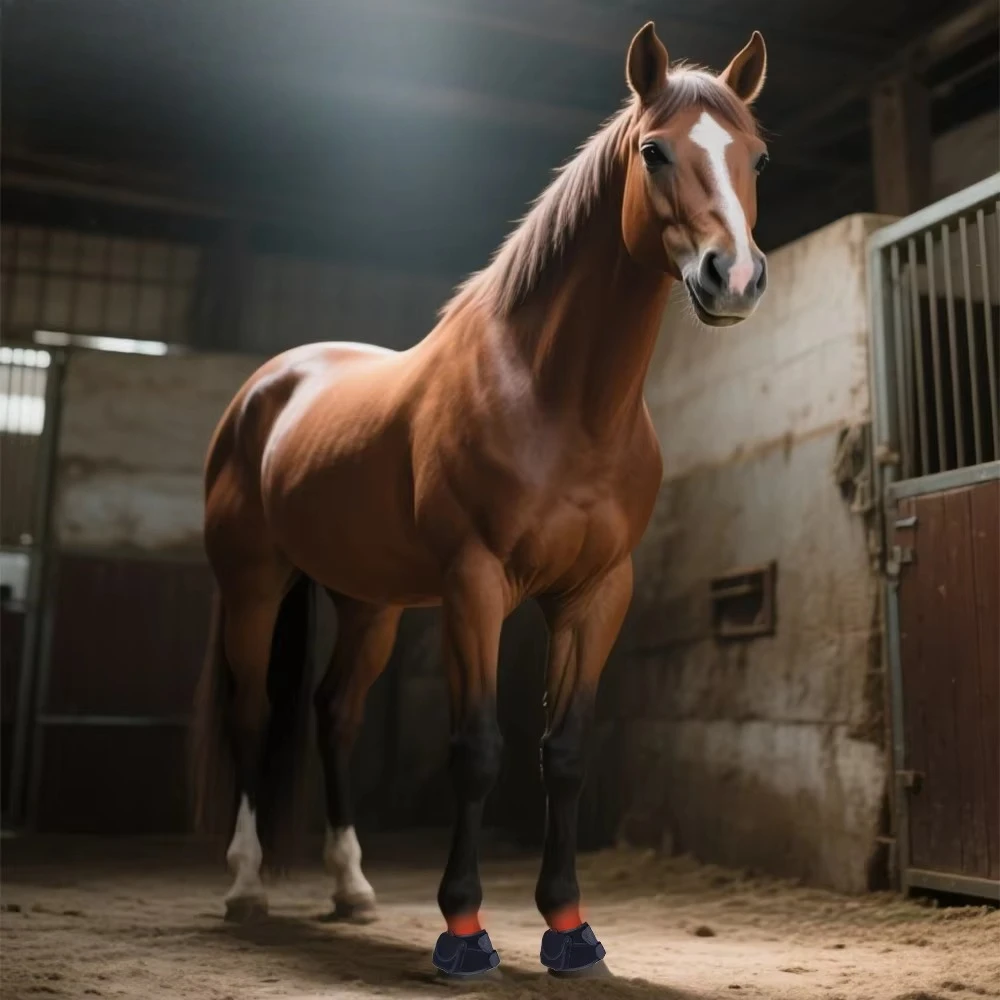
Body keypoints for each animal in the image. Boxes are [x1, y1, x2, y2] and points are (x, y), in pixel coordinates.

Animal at [192, 20, 769, 978]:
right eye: (654, 151)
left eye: (755, 156)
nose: (734, 278)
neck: (558, 398)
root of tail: (264, 390)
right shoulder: (475, 584)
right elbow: (478, 750)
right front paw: (464, 931)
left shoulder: (596, 593)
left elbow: (563, 752)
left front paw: (570, 929)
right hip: (252, 586)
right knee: (251, 714)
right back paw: (244, 887)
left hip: (370, 604)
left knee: (333, 715)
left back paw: (351, 888)